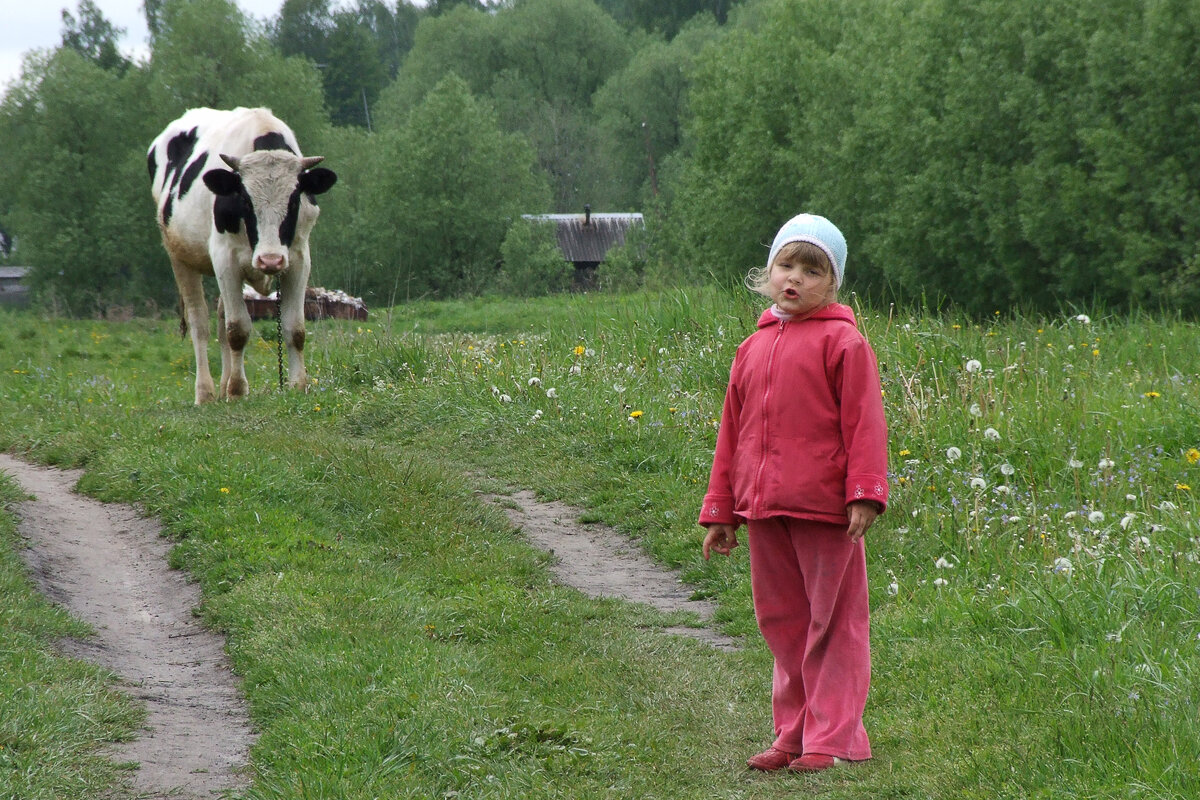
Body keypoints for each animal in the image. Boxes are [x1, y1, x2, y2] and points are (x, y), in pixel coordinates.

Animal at [151, 108, 338, 402]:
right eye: (245, 200)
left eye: (294, 200)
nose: (270, 260)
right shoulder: (224, 259)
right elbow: (237, 329)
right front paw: (238, 390)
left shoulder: (298, 259)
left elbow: (295, 328)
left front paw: (298, 385)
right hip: (179, 257)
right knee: (199, 323)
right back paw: (205, 393)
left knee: (219, 319)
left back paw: (224, 383)